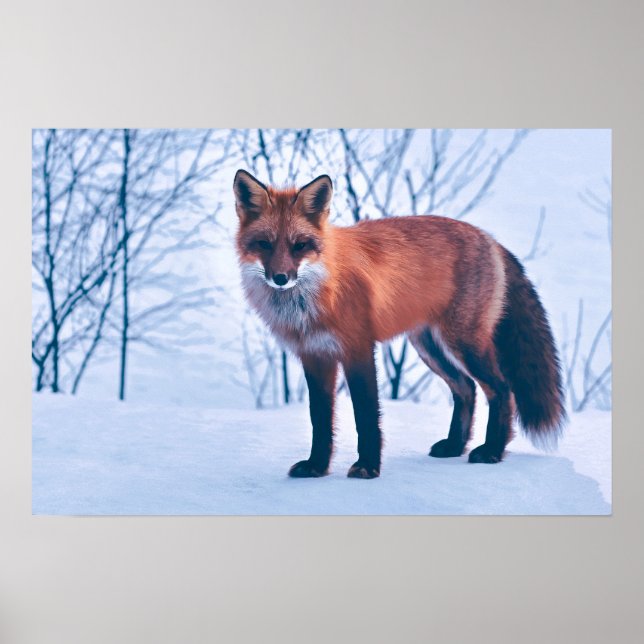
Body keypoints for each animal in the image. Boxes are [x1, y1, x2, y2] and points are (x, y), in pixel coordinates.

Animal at [234, 169, 566, 479]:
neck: (313, 297)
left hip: (464, 343)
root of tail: (489, 238)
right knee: (466, 389)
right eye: (264, 244)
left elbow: (366, 416)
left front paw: (367, 467)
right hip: (429, 347)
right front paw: (316, 467)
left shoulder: (358, 349)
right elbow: (320, 420)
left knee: (501, 389)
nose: (280, 278)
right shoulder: (315, 356)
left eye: (300, 245)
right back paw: (454, 446)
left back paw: (492, 451)